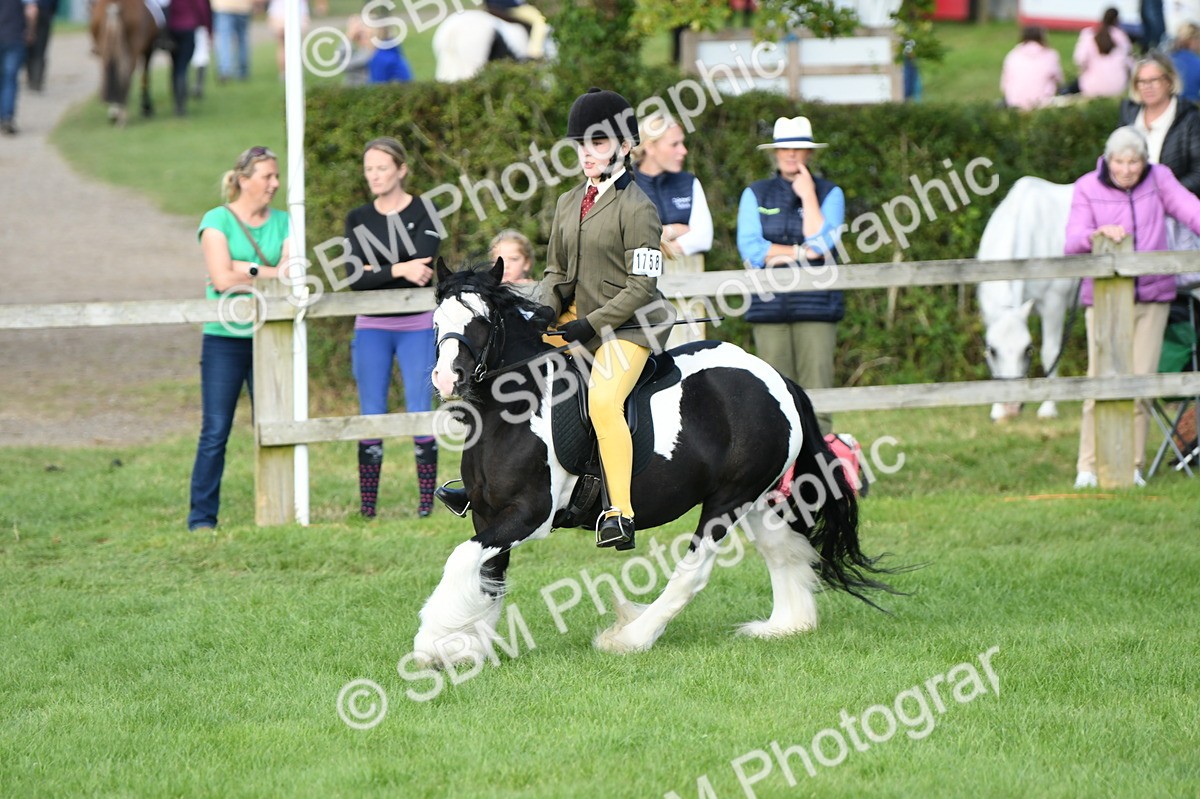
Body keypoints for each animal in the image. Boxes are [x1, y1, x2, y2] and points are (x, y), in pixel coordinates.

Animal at [412, 260, 897, 665]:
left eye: (482, 321)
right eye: (436, 322)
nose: (447, 380)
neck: (516, 409)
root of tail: (775, 378)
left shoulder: (530, 515)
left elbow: (461, 560)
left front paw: (434, 644)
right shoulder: (489, 513)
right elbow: (487, 577)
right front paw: (464, 648)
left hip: (728, 500)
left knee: (693, 573)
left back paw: (630, 638)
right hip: (757, 497)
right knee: (783, 551)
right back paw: (785, 627)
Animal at [976, 176, 1079, 421]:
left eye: (1028, 349)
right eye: (993, 350)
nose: (1012, 407)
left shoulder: (1053, 305)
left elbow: (1050, 352)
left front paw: (1048, 408)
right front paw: (996, 410)